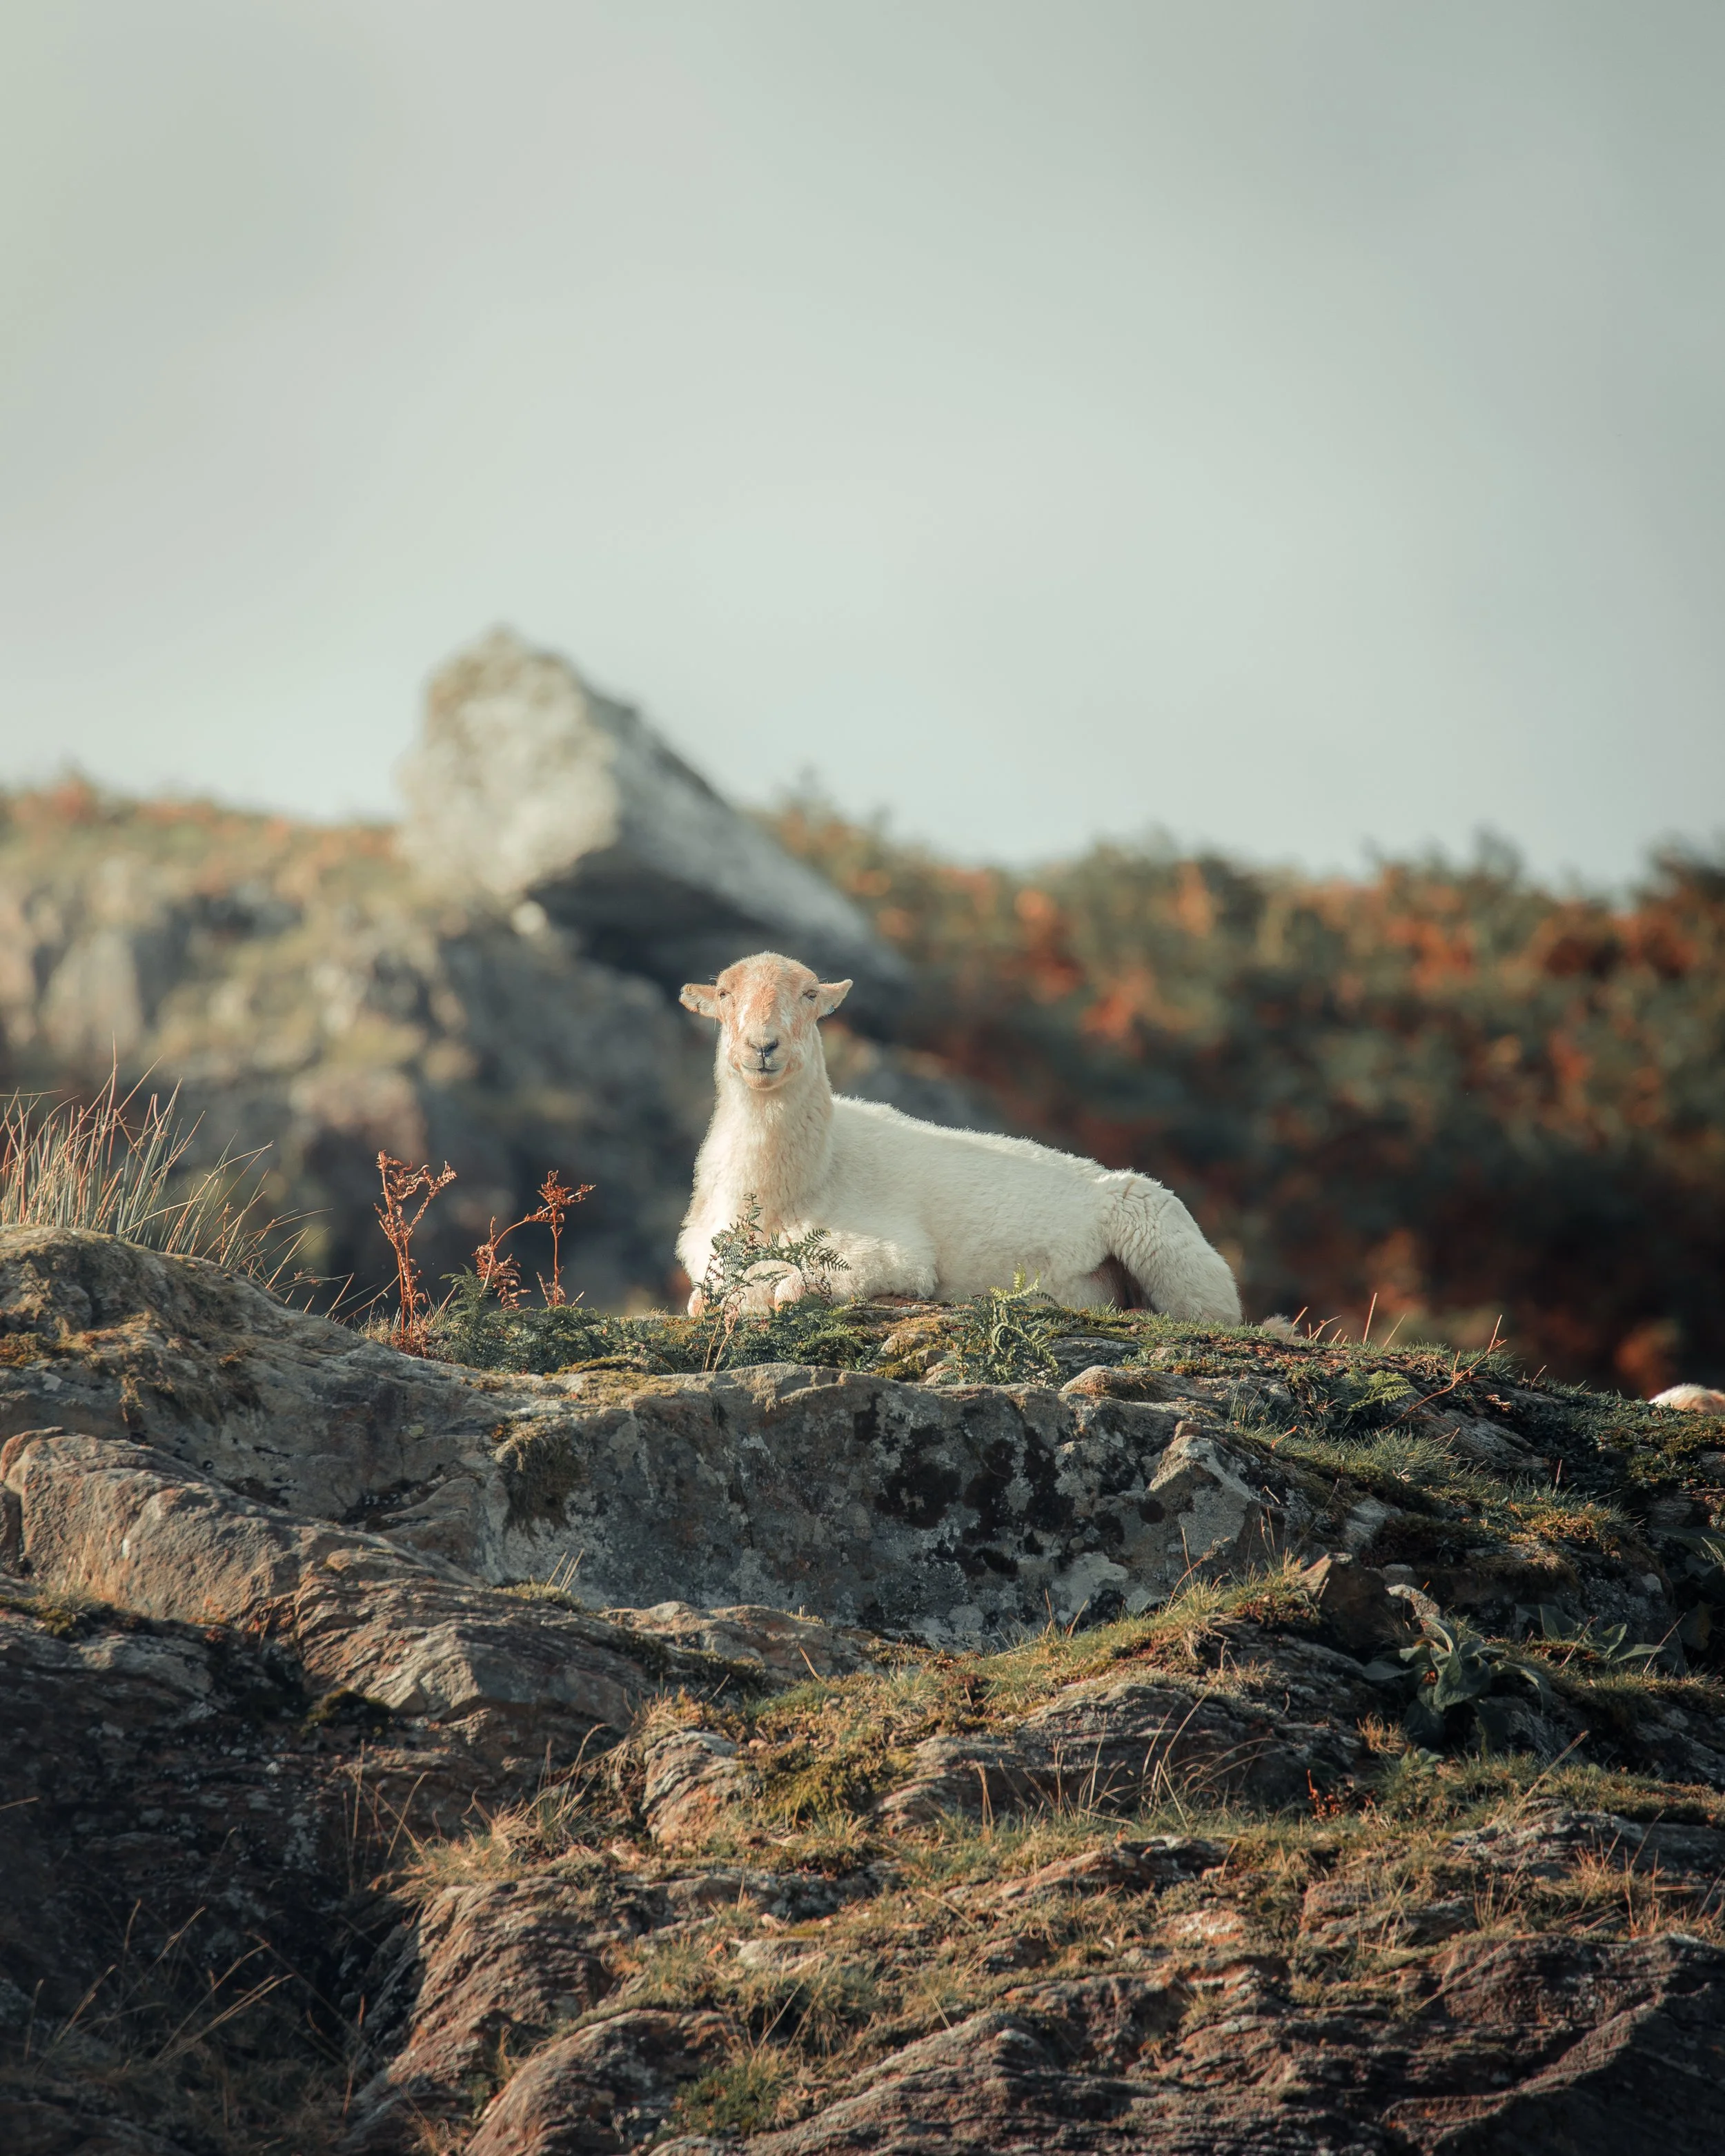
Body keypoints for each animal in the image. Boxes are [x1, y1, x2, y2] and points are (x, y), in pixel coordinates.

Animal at [676, 950, 1241, 1322]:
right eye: (724, 994)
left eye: (811, 994)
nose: (763, 1046)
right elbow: (702, 1298)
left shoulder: (887, 1255)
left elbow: (787, 1291)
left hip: (1163, 1237)